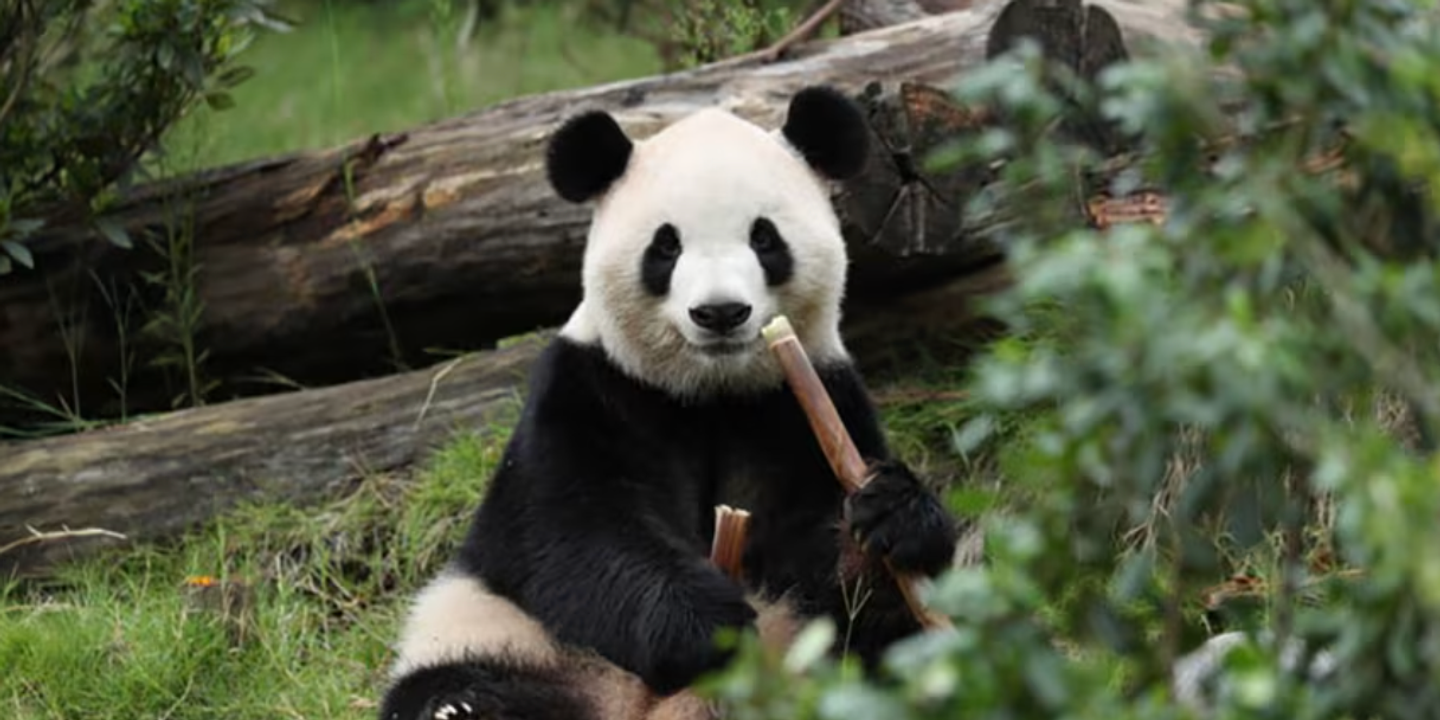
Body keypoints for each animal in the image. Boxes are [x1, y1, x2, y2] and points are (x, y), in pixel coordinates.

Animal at [378, 85, 962, 720]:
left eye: (764, 238)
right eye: (666, 245)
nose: (720, 313)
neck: (711, 393)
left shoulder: (804, 402)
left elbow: (830, 572)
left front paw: (890, 516)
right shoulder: (590, 389)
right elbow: (575, 531)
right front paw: (705, 625)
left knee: (892, 660)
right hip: (497, 631)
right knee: (454, 683)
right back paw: (462, 706)